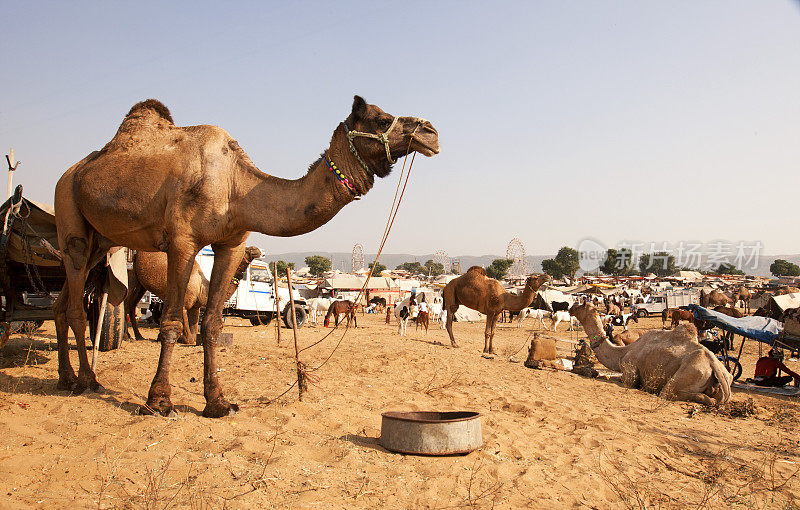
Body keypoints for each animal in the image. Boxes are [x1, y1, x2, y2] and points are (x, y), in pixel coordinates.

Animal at [125, 246, 260, 342]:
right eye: (248, 249)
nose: (257, 250)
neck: (201, 287)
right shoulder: (184, 305)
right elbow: (189, 338)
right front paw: (176, 337)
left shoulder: (195, 307)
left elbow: (194, 334)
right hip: (131, 274)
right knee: (126, 303)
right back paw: (128, 336)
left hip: (141, 284)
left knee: (131, 305)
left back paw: (138, 336)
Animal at [568, 302, 732, 406]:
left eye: (581, 305)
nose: (570, 307)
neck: (622, 353)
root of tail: (714, 366)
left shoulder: (630, 372)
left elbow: (619, 379)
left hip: (691, 372)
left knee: (669, 392)